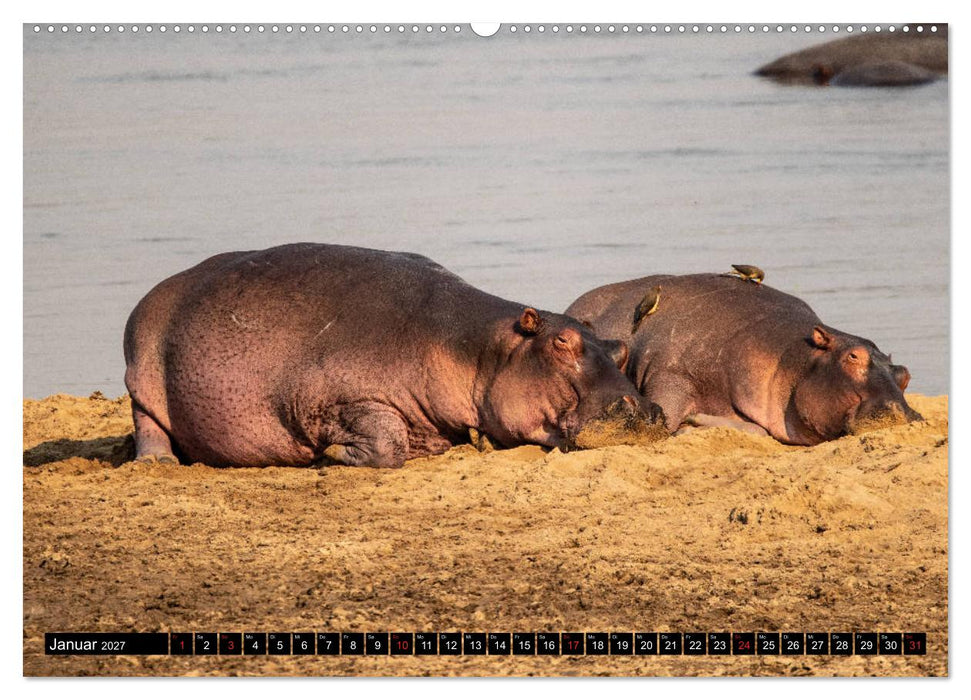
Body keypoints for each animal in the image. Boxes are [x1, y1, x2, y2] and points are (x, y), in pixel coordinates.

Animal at [124, 243, 660, 468]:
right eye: (561, 343)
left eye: (618, 348)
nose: (644, 410)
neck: (478, 347)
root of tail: (154, 292)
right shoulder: (337, 399)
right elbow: (387, 444)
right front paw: (332, 454)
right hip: (142, 376)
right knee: (147, 423)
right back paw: (158, 463)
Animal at [565, 273, 922, 445]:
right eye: (853, 356)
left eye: (905, 374)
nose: (905, 415)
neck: (792, 356)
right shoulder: (671, 376)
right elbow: (665, 419)